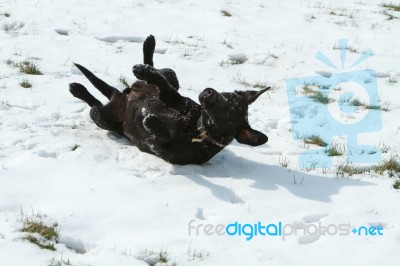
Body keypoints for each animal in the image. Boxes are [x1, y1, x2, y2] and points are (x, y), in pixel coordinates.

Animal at [69, 35, 268, 164]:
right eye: (227, 95)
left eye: (228, 112)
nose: (209, 92)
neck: (195, 127)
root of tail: (121, 95)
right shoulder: (173, 99)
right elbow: (164, 86)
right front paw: (145, 70)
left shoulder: (156, 147)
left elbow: (161, 136)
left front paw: (151, 122)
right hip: (170, 74)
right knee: (157, 70)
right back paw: (148, 50)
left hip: (102, 118)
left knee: (94, 104)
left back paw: (78, 90)